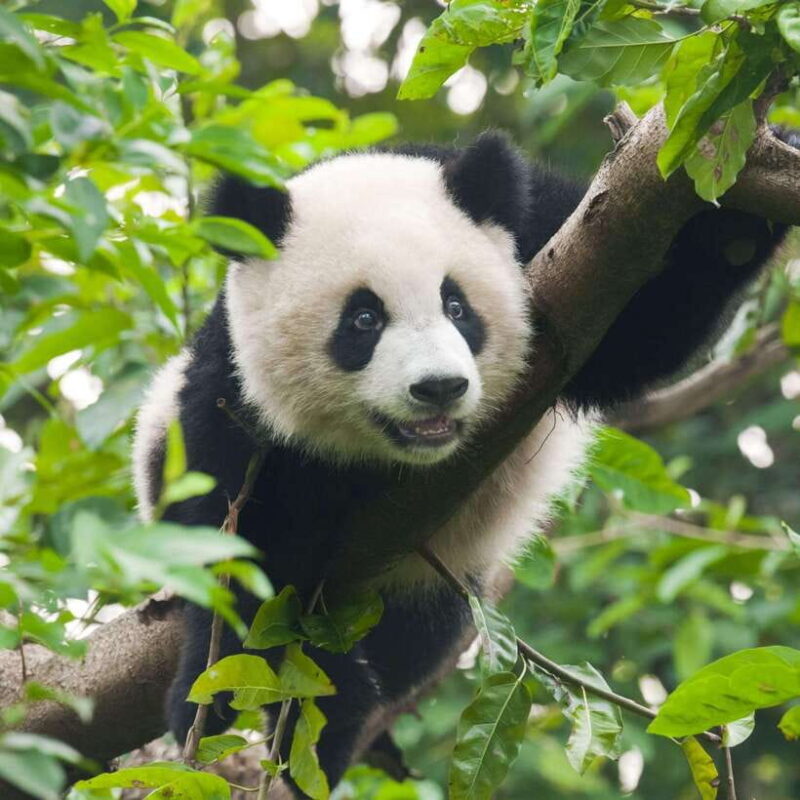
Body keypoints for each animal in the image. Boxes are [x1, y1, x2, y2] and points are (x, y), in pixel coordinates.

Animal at [133, 131, 789, 795]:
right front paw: (221, 694)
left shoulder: (555, 239)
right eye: (364, 319)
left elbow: (639, 331)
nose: (439, 387)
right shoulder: (233, 393)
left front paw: (747, 206)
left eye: (457, 306)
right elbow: (244, 545)